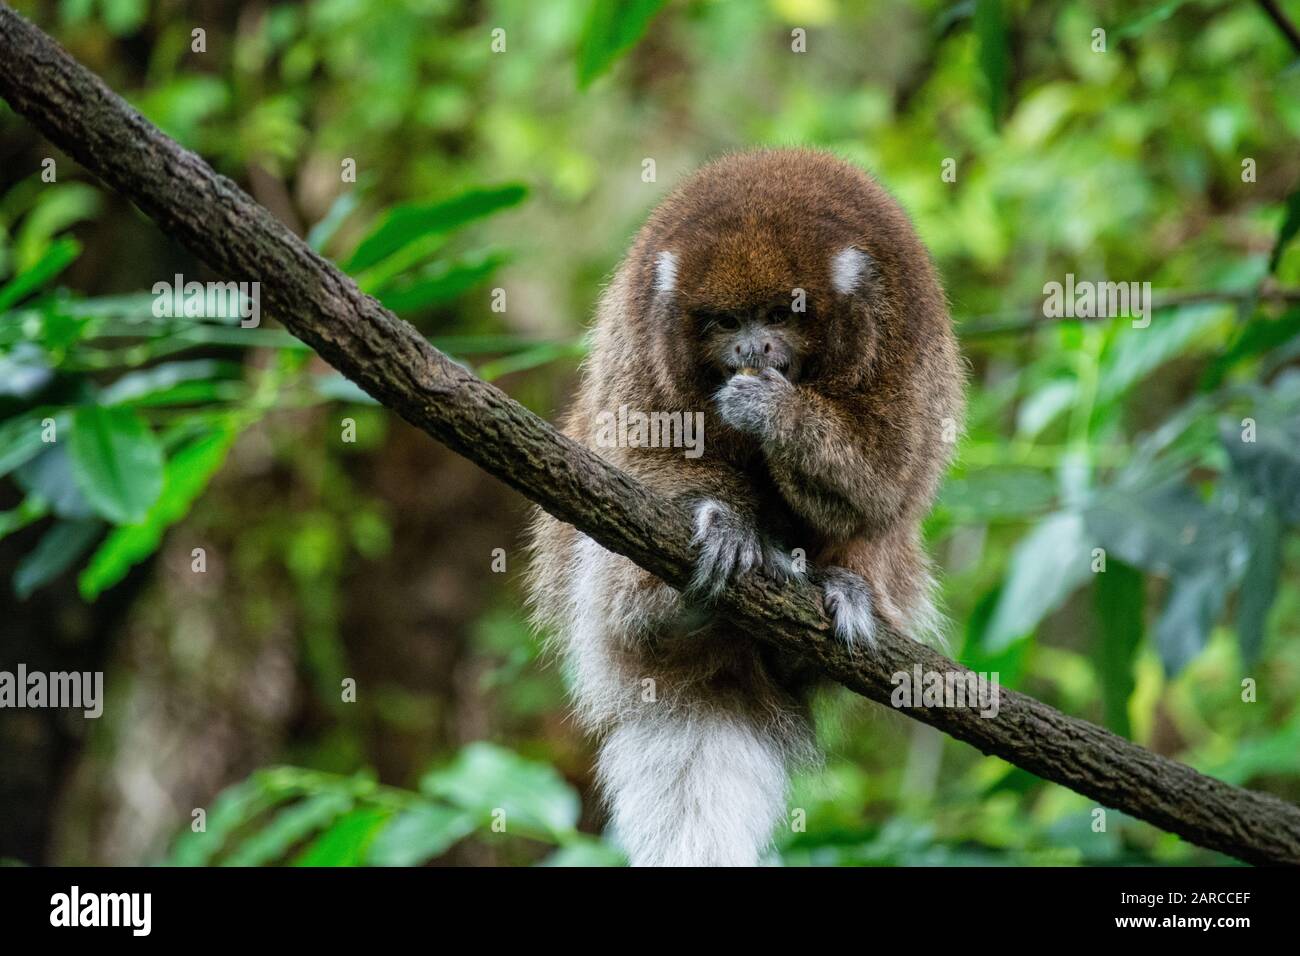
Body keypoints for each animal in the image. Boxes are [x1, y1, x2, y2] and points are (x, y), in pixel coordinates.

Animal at [526, 148, 964, 866]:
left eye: (779, 316)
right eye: (726, 322)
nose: (751, 350)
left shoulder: (903, 325)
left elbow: (889, 474)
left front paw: (773, 413)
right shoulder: (641, 325)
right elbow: (641, 452)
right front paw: (731, 526)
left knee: (886, 528)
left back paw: (842, 593)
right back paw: (675, 608)